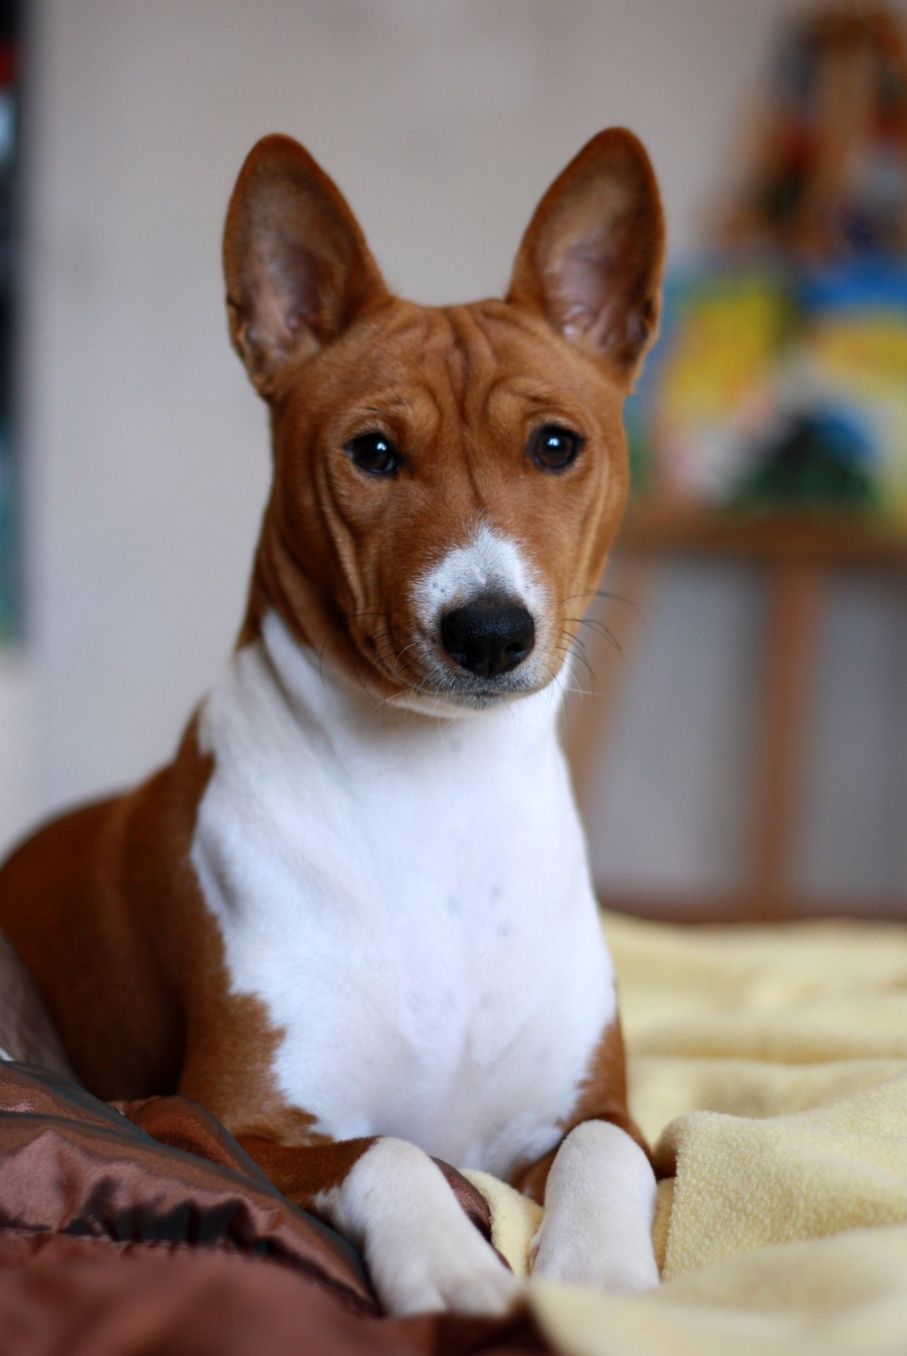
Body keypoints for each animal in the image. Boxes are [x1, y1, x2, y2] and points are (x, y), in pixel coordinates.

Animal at [0, 127, 664, 1312]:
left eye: (554, 446)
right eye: (373, 454)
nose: (487, 630)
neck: (436, 795)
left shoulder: (598, 1112)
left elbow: (606, 1151)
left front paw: (596, 1276)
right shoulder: (211, 1122)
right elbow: (393, 1152)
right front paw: (455, 1271)